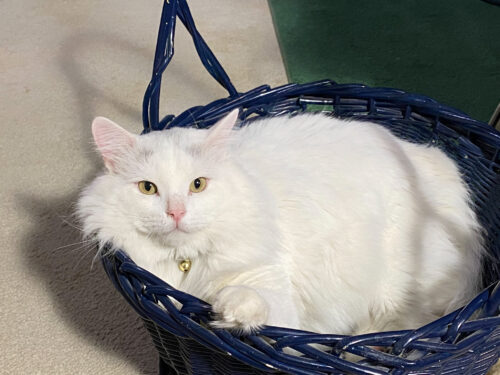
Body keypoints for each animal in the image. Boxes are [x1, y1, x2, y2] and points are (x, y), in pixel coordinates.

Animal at [79, 110, 484, 336]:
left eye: (198, 185)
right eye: (148, 188)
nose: (176, 213)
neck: (185, 265)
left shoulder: (274, 289)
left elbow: (255, 303)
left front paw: (228, 308)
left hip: (396, 290)